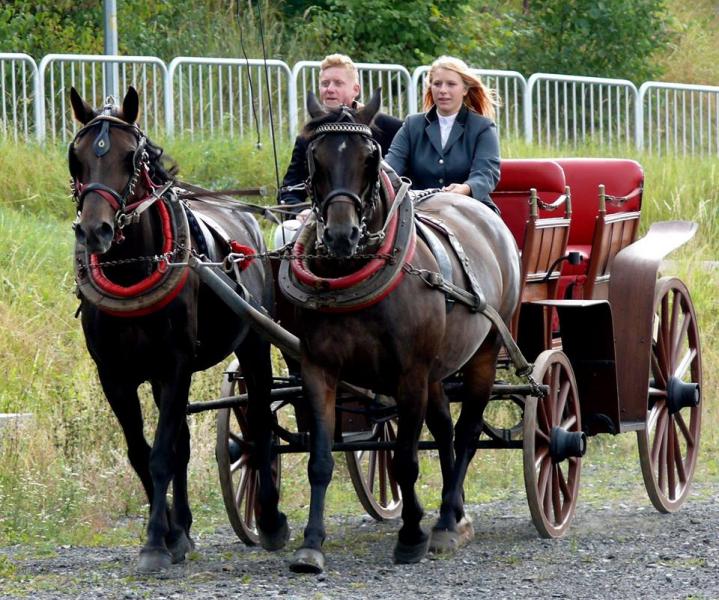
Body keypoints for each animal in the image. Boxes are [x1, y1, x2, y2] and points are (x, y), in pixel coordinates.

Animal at [69, 85, 290, 572]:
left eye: (130, 156)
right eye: (76, 157)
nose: (95, 231)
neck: (133, 269)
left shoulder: (174, 365)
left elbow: (160, 454)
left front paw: (154, 542)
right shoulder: (115, 376)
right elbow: (143, 452)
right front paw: (170, 534)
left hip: (255, 343)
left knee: (260, 422)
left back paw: (269, 519)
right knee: (185, 445)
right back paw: (184, 529)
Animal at [282, 91, 524, 576]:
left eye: (371, 157)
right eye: (315, 157)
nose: (340, 235)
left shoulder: (409, 374)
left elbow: (406, 459)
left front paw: (411, 535)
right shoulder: (318, 370)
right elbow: (321, 460)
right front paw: (311, 544)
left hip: (484, 353)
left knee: (467, 431)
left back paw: (446, 522)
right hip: (439, 368)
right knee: (446, 430)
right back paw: (456, 514)